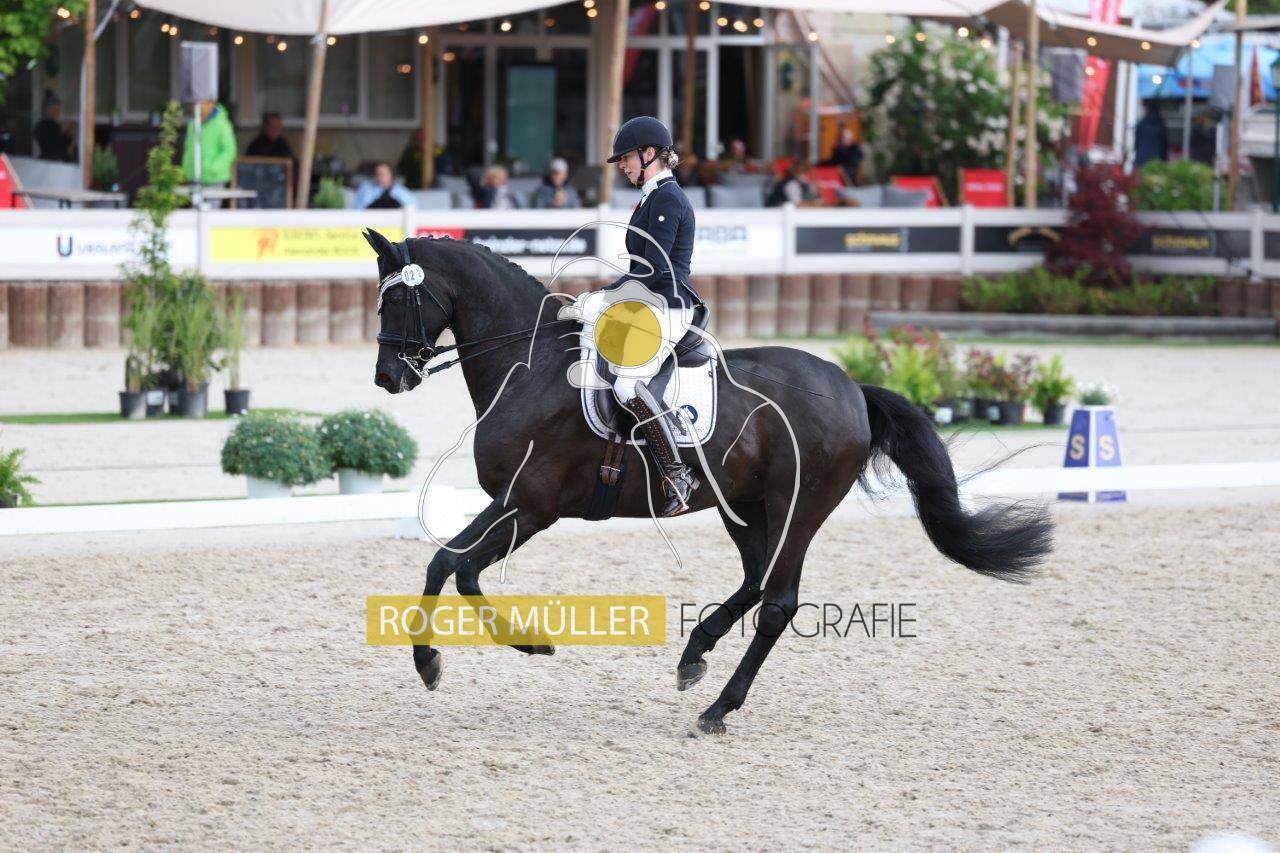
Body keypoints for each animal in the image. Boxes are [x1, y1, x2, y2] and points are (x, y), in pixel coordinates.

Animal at [363, 228, 1054, 735]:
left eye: (397, 299)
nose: (387, 379)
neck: (528, 369)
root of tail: (853, 389)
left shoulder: (532, 506)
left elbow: (465, 571)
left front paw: (529, 647)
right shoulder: (510, 502)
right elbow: (444, 562)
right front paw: (430, 664)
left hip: (797, 506)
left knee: (777, 602)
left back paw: (717, 708)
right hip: (742, 505)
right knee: (755, 582)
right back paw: (693, 657)